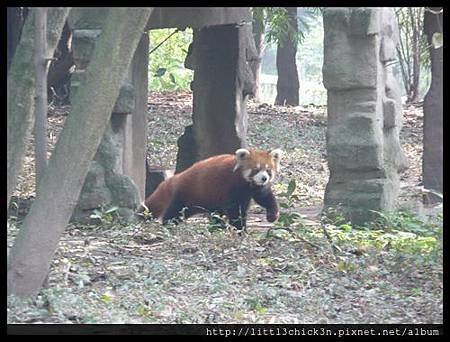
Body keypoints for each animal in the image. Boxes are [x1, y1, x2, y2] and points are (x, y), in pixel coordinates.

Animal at [142, 148, 282, 230]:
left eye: (268, 170)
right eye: (256, 170)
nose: (264, 178)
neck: (247, 184)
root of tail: (178, 176)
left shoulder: (255, 188)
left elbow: (265, 198)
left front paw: (272, 215)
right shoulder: (230, 186)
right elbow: (234, 210)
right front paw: (240, 229)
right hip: (187, 193)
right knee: (175, 211)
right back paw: (168, 224)